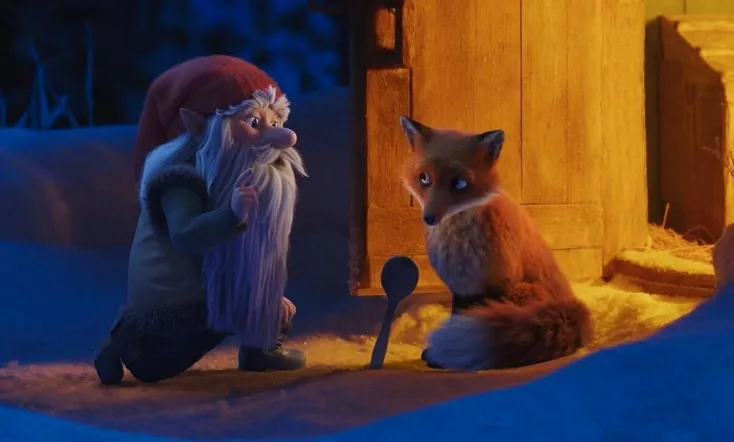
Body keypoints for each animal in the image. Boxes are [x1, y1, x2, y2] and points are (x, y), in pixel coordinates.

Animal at [398, 116, 594, 371]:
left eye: (459, 184)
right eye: (424, 178)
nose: (430, 217)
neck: (460, 247)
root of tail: (576, 308)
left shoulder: (492, 286)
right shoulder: (461, 289)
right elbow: (457, 317)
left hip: (520, 294)